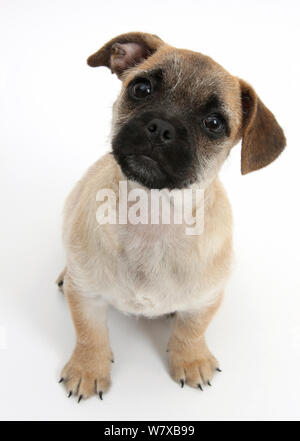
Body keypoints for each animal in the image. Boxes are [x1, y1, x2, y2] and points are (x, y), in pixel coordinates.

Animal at [56, 32, 286, 400]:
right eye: (141, 88)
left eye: (214, 123)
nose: (160, 127)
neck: (152, 216)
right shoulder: (87, 298)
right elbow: (90, 334)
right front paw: (87, 368)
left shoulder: (206, 300)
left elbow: (191, 331)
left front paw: (191, 360)